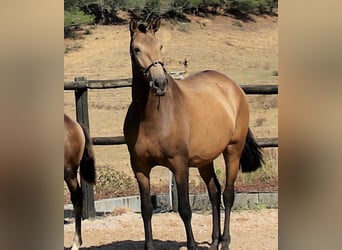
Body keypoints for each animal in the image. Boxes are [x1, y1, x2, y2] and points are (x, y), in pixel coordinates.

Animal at [123, 16, 264, 249]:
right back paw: (215, 241)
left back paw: (225, 242)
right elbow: (146, 210)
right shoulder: (140, 168)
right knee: (214, 192)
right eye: (136, 49)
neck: (151, 117)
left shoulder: (179, 165)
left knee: (228, 194)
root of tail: (233, 87)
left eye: (160, 46)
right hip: (204, 160)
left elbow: (185, 209)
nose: (159, 84)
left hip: (232, 150)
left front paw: (192, 244)